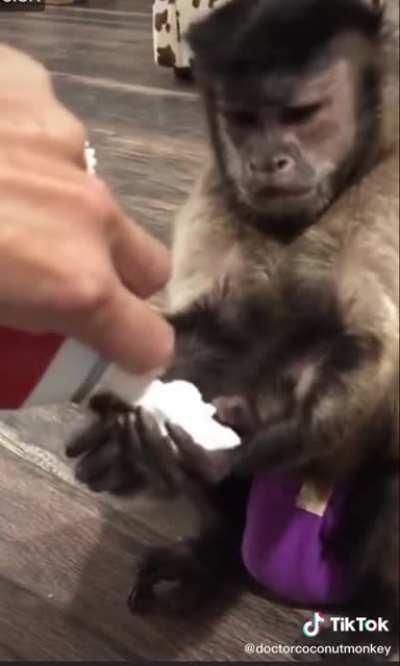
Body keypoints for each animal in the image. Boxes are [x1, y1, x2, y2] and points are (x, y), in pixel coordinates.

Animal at [67, 0, 399, 659]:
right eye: (243, 119)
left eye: (301, 114)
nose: (266, 160)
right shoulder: (220, 192)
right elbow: (227, 328)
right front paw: (137, 427)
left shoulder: (390, 186)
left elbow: (370, 350)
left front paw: (249, 431)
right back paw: (213, 555)